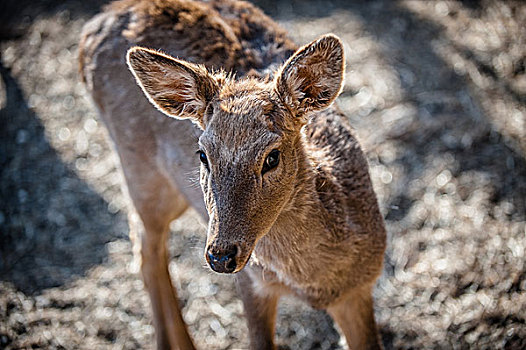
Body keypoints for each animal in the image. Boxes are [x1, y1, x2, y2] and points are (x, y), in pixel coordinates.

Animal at [80, 0, 390, 350]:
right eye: (203, 154)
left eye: (272, 157)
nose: (220, 256)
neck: (316, 285)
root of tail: (95, 24)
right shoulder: (251, 281)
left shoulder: (360, 287)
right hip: (139, 168)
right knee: (147, 249)